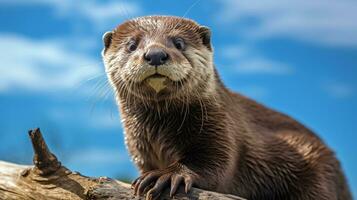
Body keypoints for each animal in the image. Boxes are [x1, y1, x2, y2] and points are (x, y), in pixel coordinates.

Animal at [100, 16, 350, 200]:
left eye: (179, 42)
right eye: (132, 45)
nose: (155, 54)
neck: (159, 132)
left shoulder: (221, 127)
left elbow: (216, 165)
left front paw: (168, 176)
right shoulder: (141, 151)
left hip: (317, 169)